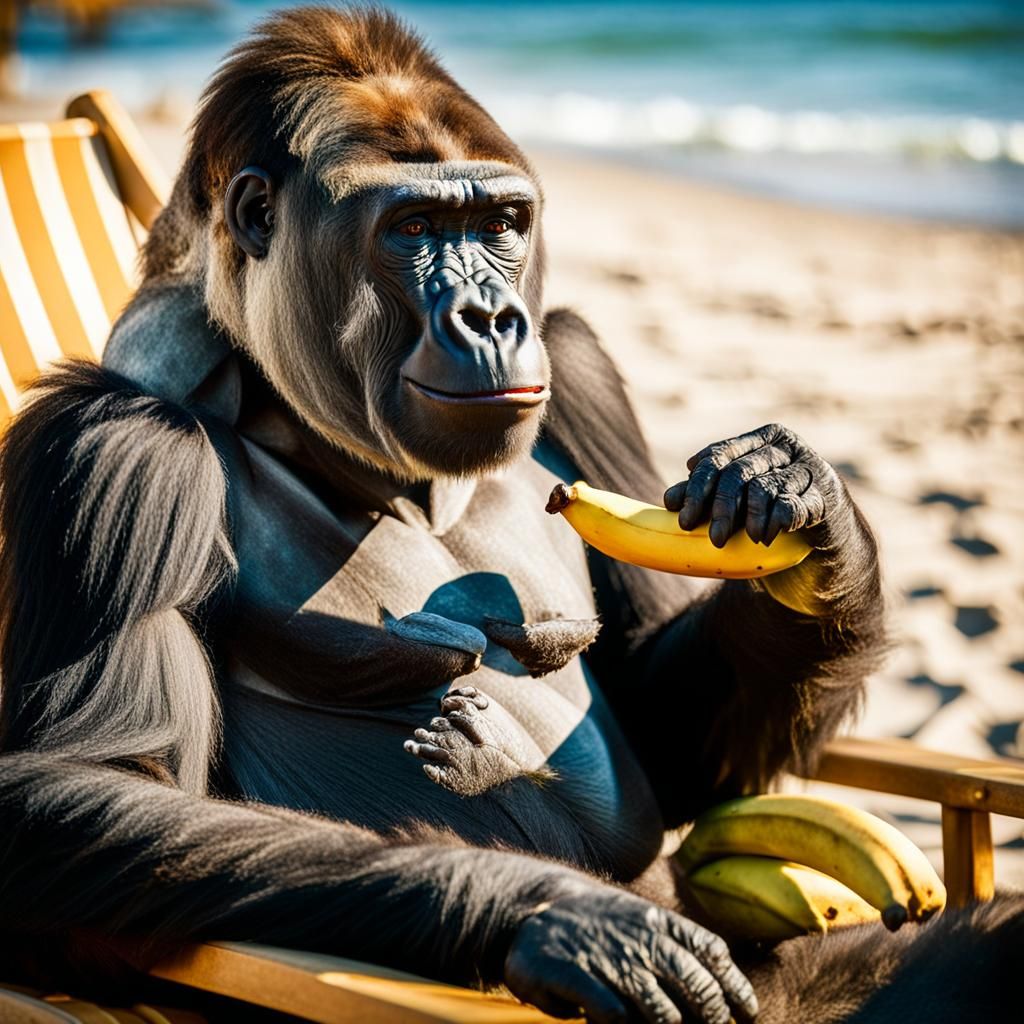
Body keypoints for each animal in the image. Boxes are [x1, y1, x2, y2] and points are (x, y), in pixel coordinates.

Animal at [0, 6, 1015, 1022]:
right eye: (414, 227)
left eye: (500, 225)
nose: (491, 317)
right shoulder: (117, 448)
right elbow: (81, 784)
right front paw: (561, 914)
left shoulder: (578, 365)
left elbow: (667, 733)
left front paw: (813, 530)